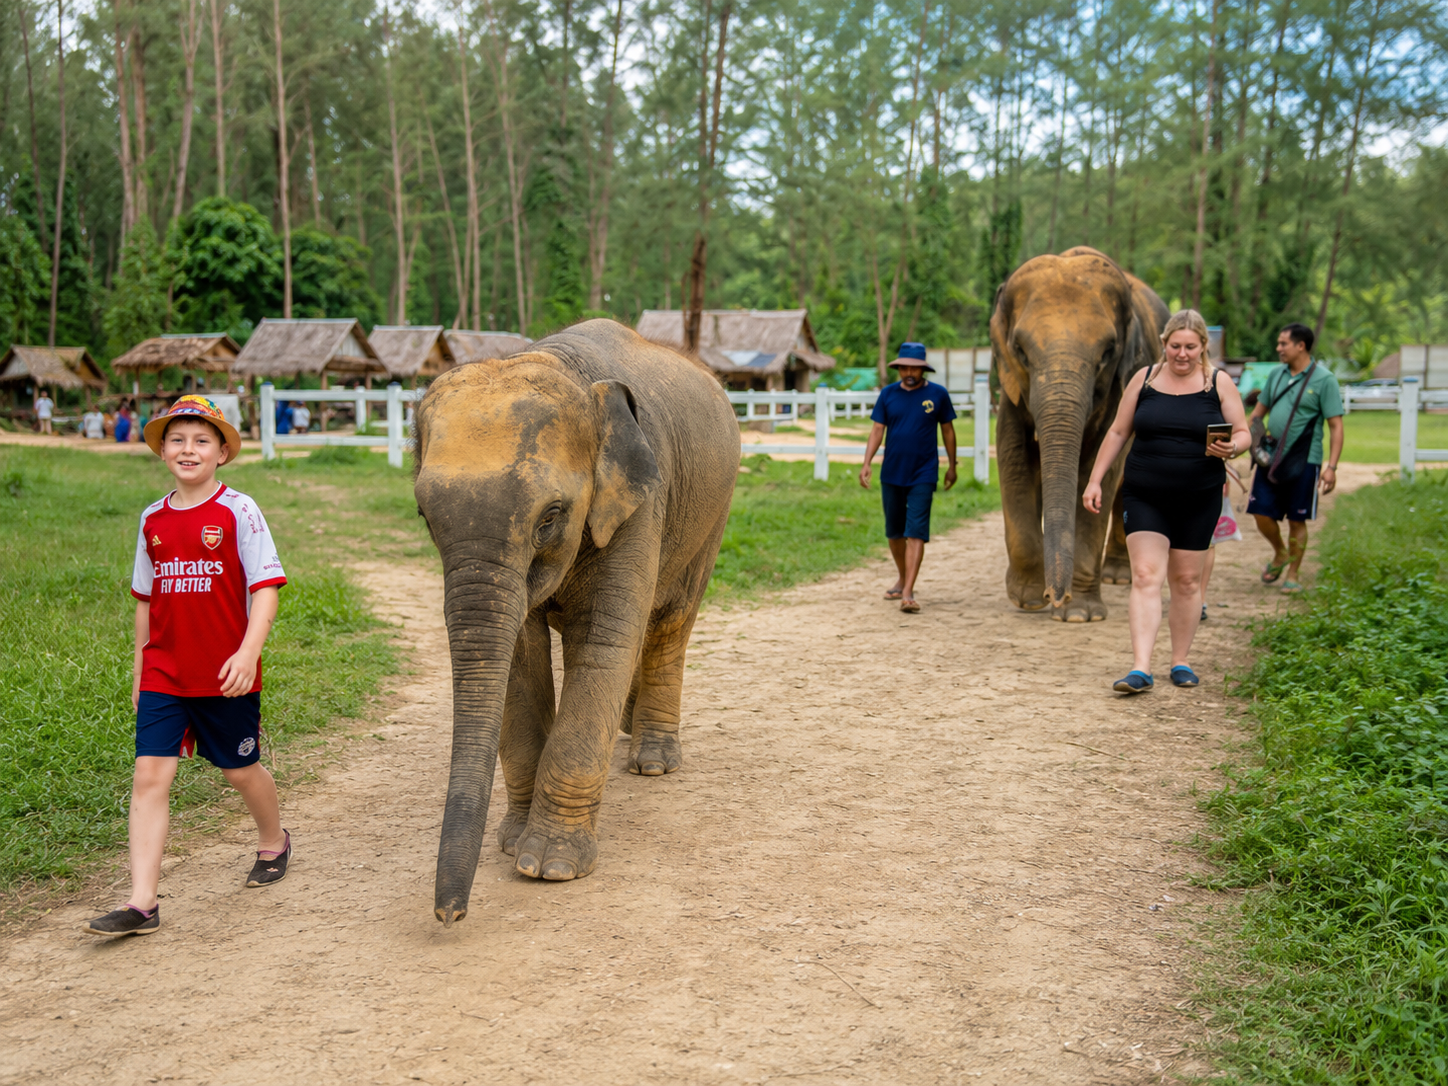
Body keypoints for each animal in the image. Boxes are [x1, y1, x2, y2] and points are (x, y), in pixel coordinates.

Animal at [414, 319, 739, 925]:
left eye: (551, 516)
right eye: (424, 515)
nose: (450, 915)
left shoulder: (643, 501)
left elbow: (605, 644)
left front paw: (548, 866)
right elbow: (519, 657)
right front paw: (512, 843)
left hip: (714, 512)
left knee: (670, 621)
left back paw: (653, 762)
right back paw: (629, 729)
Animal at [990, 246, 1169, 622]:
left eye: (1107, 353)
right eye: (1020, 351)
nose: (1056, 596)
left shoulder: (1124, 382)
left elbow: (1098, 468)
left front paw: (1080, 615)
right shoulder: (1009, 384)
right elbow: (1013, 457)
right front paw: (1029, 599)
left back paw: (1119, 576)